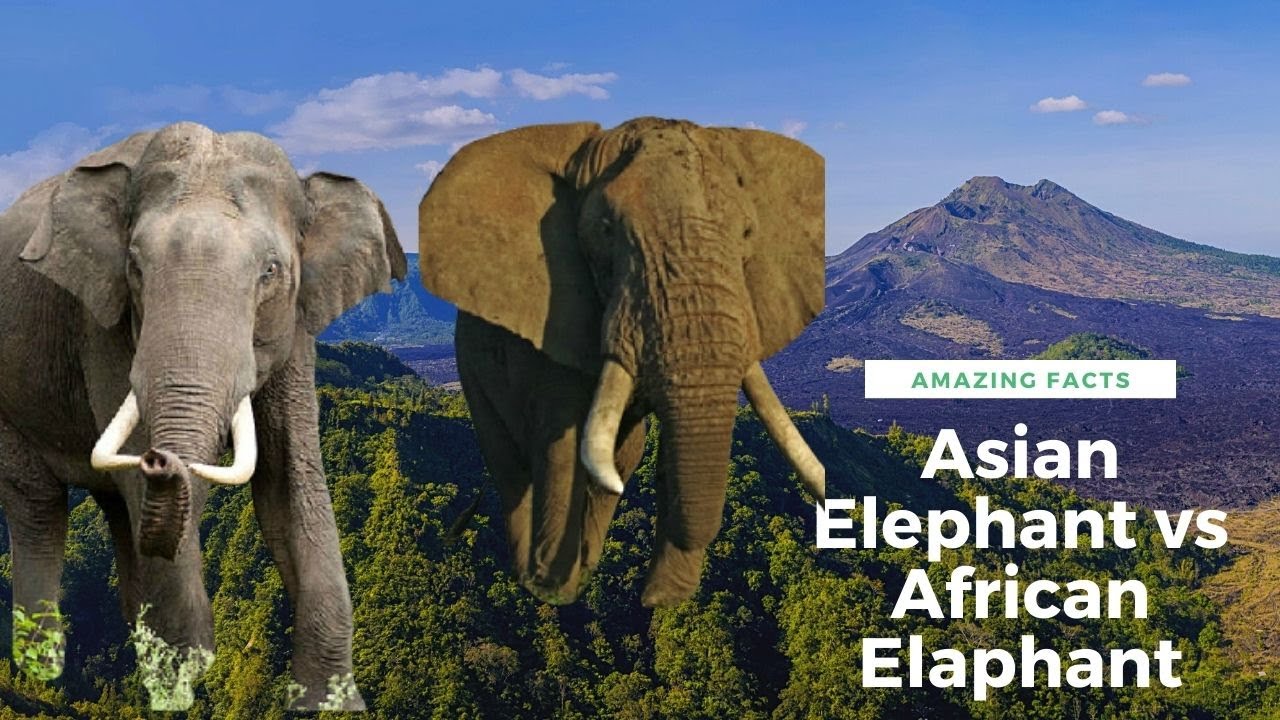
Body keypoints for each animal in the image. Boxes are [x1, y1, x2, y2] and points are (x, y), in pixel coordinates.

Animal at [0, 122, 405, 711]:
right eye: (135, 267)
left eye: (270, 272)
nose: (159, 460)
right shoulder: (104, 325)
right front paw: (180, 694)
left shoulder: (296, 330)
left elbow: (290, 483)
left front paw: (327, 705)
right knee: (38, 508)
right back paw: (43, 675)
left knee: (119, 514)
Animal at [418, 116, 826, 607]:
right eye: (607, 230)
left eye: (747, 234)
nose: (650, 599)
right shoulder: (557, 321)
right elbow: (561, 445)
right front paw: (553, 589)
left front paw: (661, 598)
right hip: (471, 368)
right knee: (510, 463)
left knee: (623, 452)